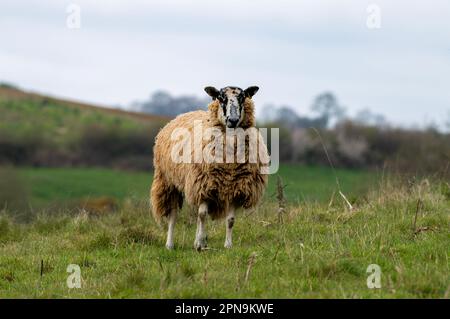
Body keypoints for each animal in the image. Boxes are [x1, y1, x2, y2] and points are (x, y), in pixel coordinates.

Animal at [151, 86, 268, 251]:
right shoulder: (203, 184)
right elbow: (202, 215)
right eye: (220, 97)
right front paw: (199, 244)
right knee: (174, 215)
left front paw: (227, 245)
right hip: (169, 182)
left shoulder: (237, 188)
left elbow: (230, 220)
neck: (229, 166)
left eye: (242, 97)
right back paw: (170, 244)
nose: (232, 120)